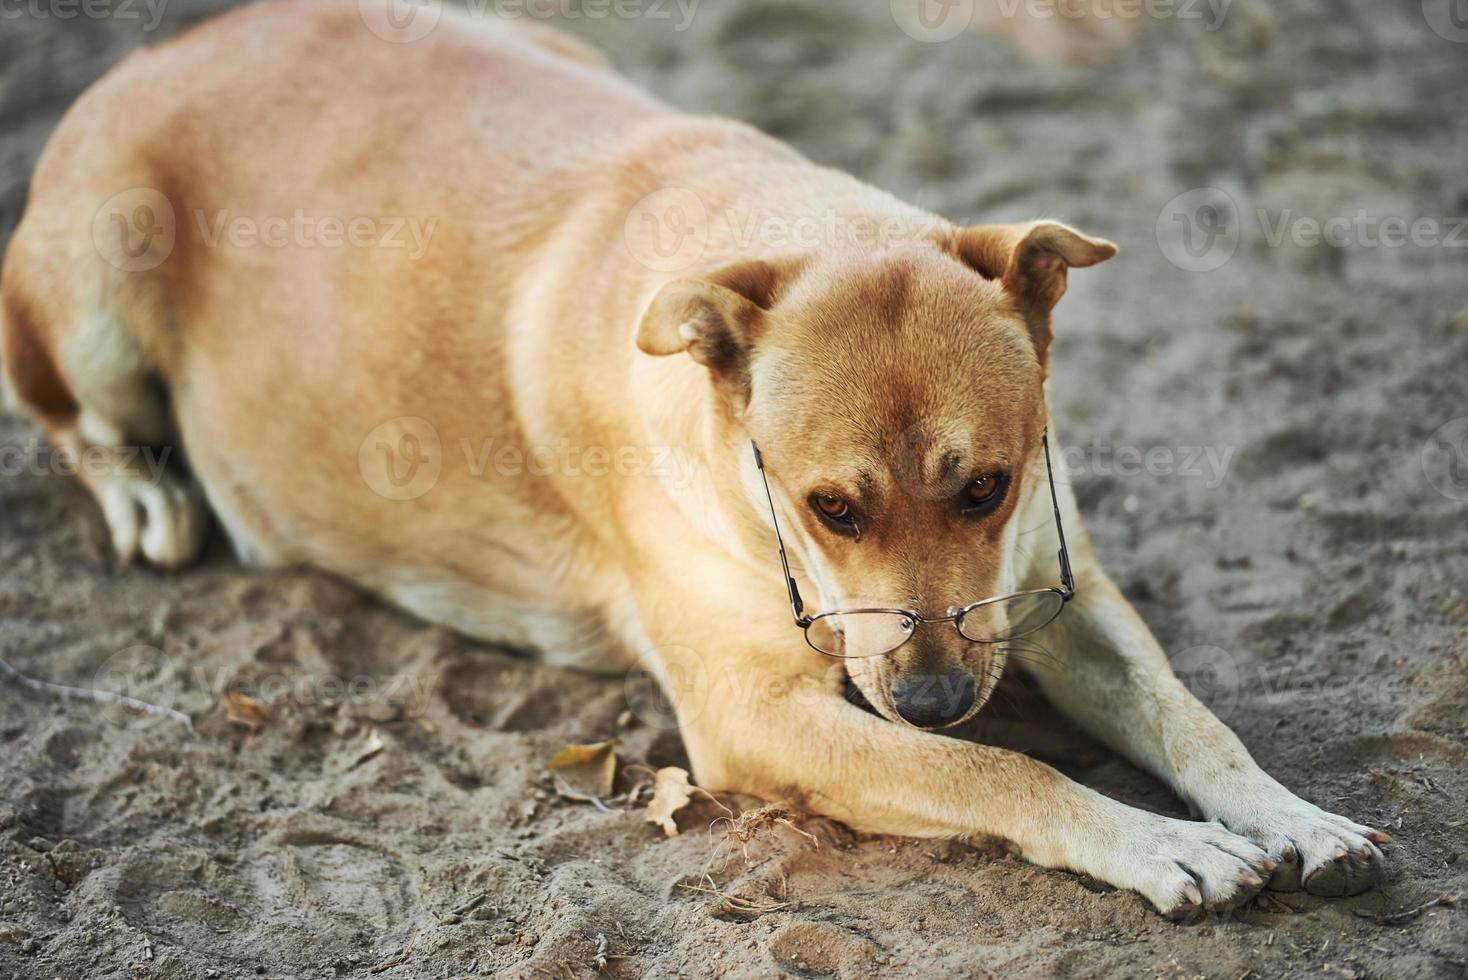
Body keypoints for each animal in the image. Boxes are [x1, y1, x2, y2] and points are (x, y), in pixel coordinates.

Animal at [0, 0, 1379, 921]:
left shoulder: (1057, 590)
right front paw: (1158, 843)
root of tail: (170, 46)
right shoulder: (755, 717)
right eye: (828, 507)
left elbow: (1194, 721)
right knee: (67, 413)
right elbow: (1001, 767)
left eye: (985, 487)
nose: (932, 693)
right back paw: (144, 489)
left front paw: (1293, 814)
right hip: (95, 281)